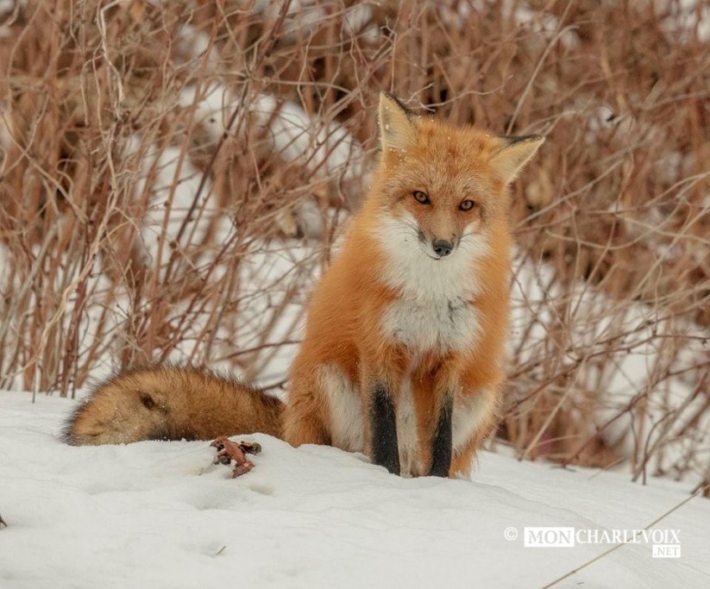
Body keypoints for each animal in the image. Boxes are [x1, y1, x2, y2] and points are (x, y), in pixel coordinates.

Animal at [64, 93, 544, 478]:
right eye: (421, 197)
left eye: (467, 205)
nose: (443, 246)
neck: (428, 292)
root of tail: (289, 423)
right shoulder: (379, 348)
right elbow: (383, 436)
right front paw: (384, 481)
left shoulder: (451, 359)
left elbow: (440, 445)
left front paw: (435, 488)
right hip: (330, 379)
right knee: (347, 446)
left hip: (480, 398)